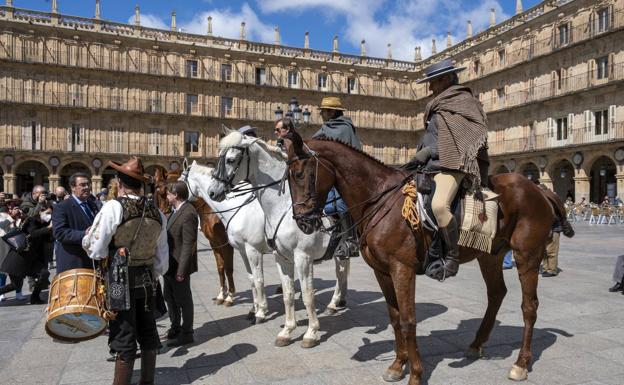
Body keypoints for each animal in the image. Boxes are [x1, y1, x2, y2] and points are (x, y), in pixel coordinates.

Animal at [153, 166, 236, 304]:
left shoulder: (226, 244)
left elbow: (229, 269)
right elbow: (220, 267)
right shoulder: (215, 243)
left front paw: (229, 297)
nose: (162, 214)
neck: (212, 211)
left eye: (162, 192)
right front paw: (221, 295)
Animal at [206, 130, 348, 346]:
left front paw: (311, 333)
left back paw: (335, 302)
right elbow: (288, 294)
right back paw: (336, 302)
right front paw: (287, 331)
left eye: (230, 160)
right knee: (342, 272)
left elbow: (307, 295)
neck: (283, 207)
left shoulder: (302, 258)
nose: (213, 191)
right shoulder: (281, 257)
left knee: (341, 274)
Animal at [286, 134, 572, 382]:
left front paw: (415, 373)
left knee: (529, 306)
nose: (303, 222)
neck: (380, 199)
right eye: (286, 178)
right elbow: (394, 317)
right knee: (496, 293)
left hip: (527, 255)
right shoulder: (382, 271)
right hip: (490, 255)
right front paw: (397, 365)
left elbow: (408, 320)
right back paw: (477, 344)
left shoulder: (402, 269)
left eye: (300, 174)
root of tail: (538, 189)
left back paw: (521, 364)